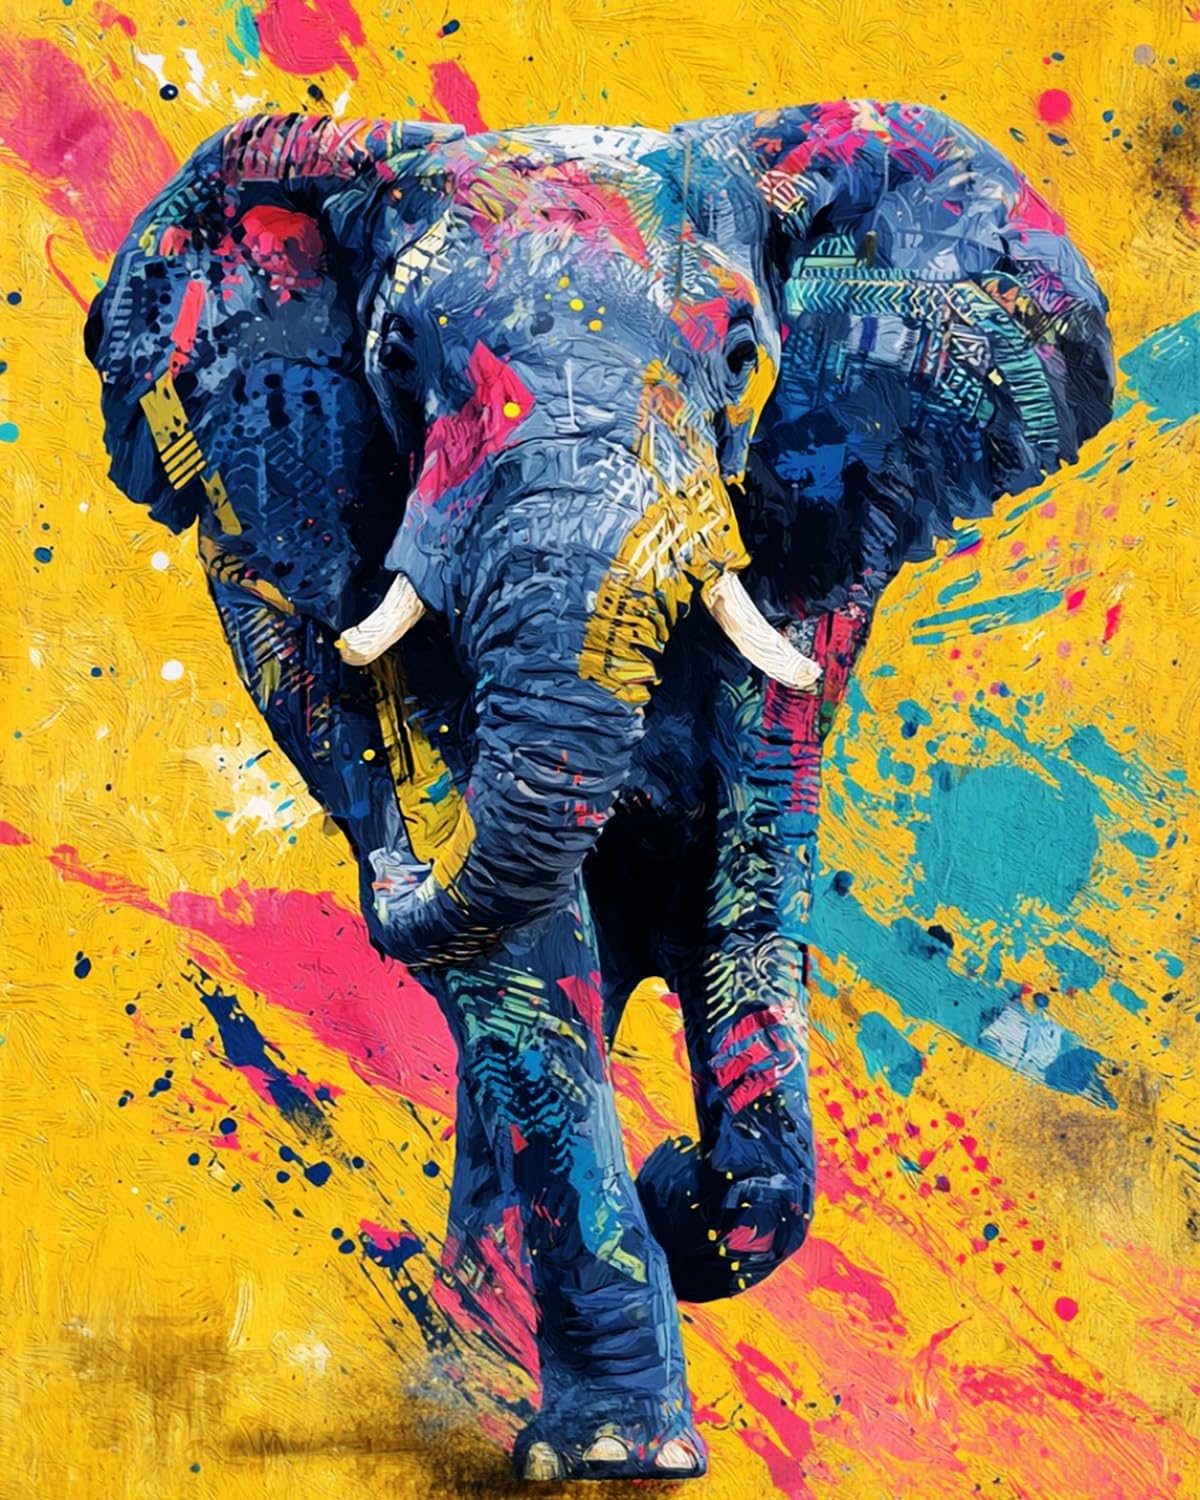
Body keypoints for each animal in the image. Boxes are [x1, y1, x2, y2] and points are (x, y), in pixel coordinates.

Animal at [85, 100, 1112, 1482]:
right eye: (396, 355)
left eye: (741, 354)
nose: (390, 867)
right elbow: (529, 937)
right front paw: (628, 1453)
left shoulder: (812, 519)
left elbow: (747, 872)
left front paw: (702, 1207)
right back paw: (470, 1368)